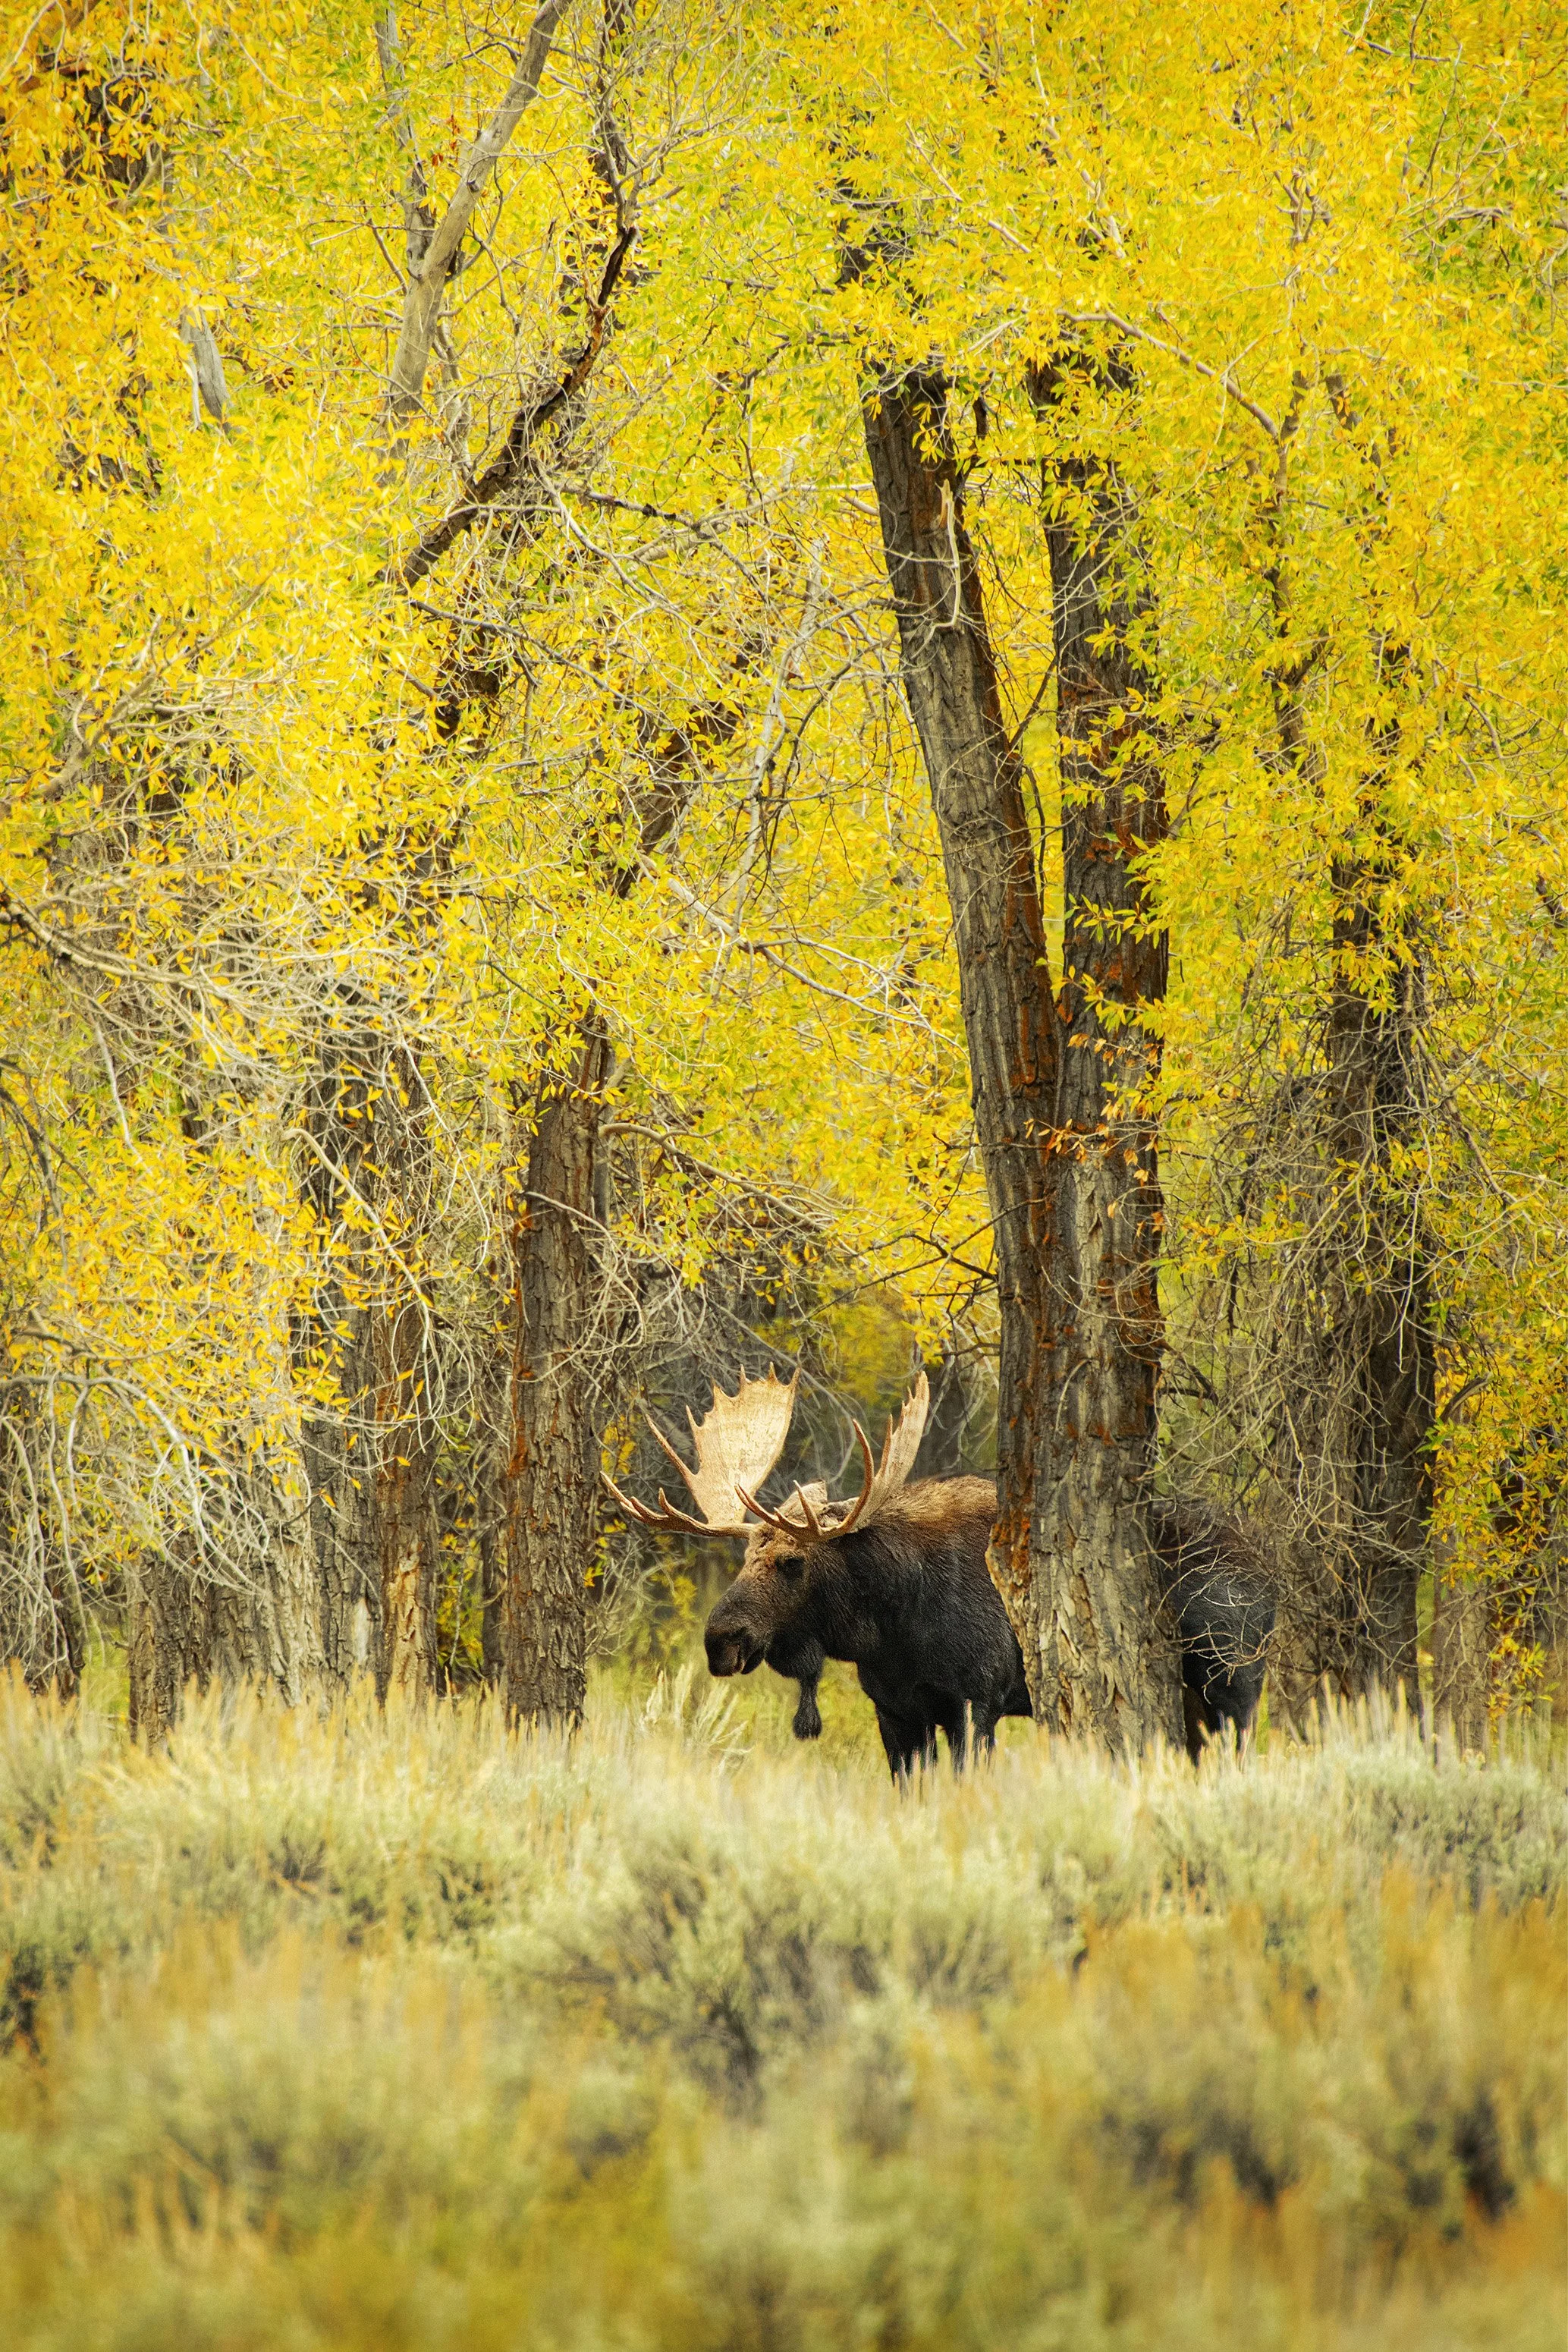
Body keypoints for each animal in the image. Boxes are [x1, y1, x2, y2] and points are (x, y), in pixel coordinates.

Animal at [605, 1371, 1273, 1776]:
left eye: (791, 1562)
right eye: (744, 1559)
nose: (721, 1641)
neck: (888, 1628)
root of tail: (1270, 1566)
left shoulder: (976, 1703)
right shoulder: (896, 1712)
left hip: (1231, 1683)